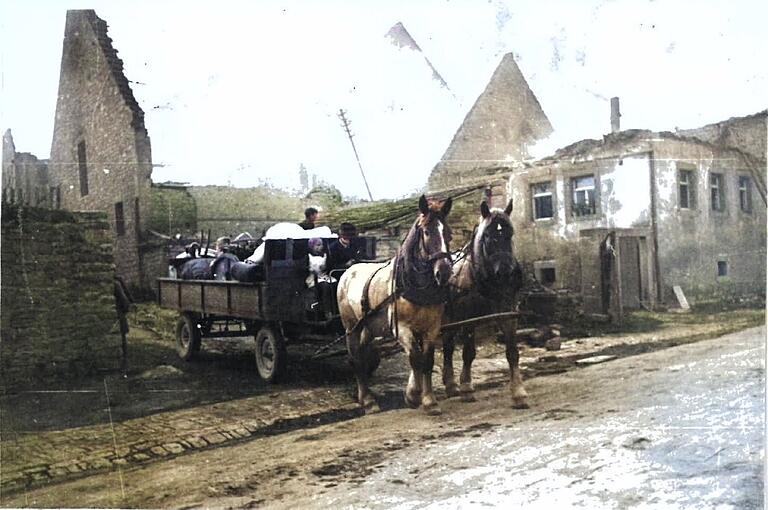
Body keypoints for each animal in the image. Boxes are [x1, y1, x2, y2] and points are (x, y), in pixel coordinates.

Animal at [340, 195, 452, 414]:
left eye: (448, 233)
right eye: (427, 232)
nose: (444, 272)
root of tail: (348, 271)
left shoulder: (432, 327)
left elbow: (427, 360)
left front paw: (429, 400)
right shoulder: (402, 328)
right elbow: (415, 358)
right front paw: (413, 396)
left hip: (368, 328)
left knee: (363, 356)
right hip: (351, 328)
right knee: (355, 359)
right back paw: (367, 401)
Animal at [444, 198, 528, 406]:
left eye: (510, 233)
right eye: (488, 235)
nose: (506, 272)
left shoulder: (508, 313)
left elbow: (512, 351)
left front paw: (518, 392)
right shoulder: (469, 319)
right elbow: (468, 353)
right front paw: (467, 387)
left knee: (448, 346)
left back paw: (450, 386)